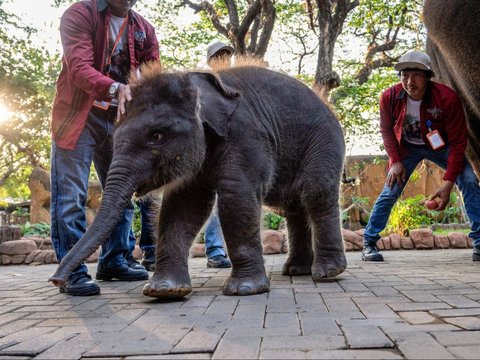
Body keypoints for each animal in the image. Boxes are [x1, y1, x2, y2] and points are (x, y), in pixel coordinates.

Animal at [50, 64, 346, 298]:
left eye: (157, 136)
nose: (55, 280)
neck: (197, 82)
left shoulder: (246, 136)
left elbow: (236, 197)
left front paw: (245, 290)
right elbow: (183, 205)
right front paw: (164, 290)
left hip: (325, 142)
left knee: (315, 193)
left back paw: (328, 272)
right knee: (292, 206)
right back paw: (295, 270)